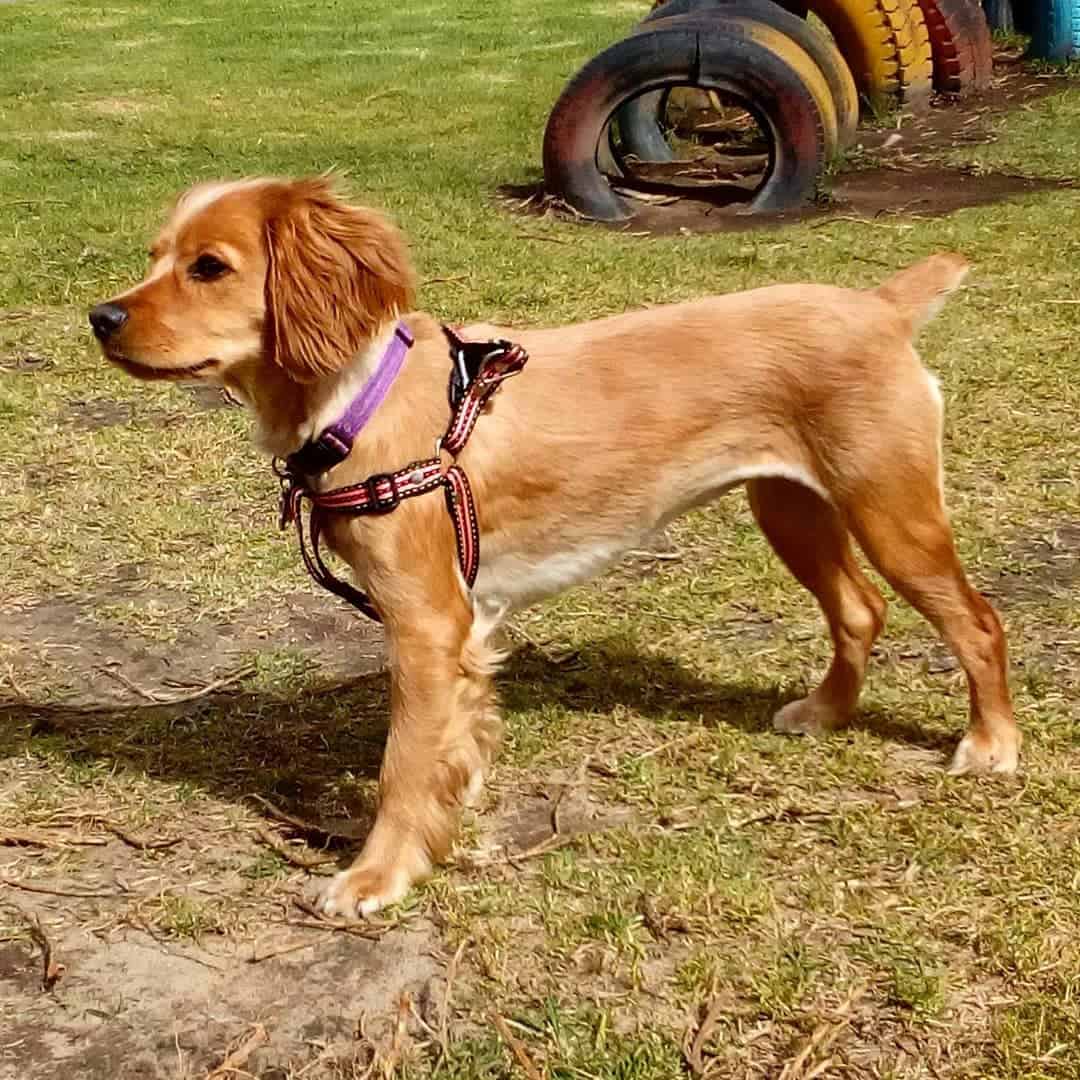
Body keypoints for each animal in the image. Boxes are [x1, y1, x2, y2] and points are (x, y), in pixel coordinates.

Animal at [86, 177, 1019, 920]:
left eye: (210, 267)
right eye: (155, 255)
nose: (101, 316)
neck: (359, 398)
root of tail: (881, 305)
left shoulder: (424, 625)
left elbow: (400, 766)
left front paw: (378, 874)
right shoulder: (464, 629)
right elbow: (454, 742)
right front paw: (454, 799)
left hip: (890, 511)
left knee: (978, 624)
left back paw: (991, 745)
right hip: (791, 507)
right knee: (859, 609)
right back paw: (826, 713)